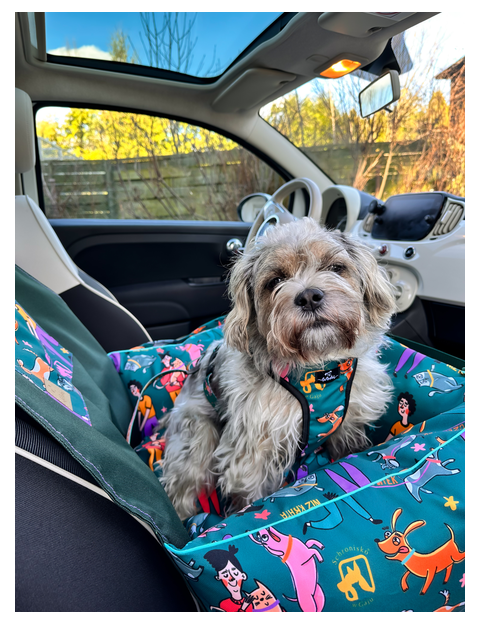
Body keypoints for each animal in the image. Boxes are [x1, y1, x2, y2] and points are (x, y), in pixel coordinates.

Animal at [159, 218, 396, 519]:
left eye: (335, 267)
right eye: (275, 281)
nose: (309, 296)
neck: (318, 366)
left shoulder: (349, 420)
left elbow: (347, 448)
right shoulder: (253, 446)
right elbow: (249, 489)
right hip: (196, 437)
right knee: (183, 485)